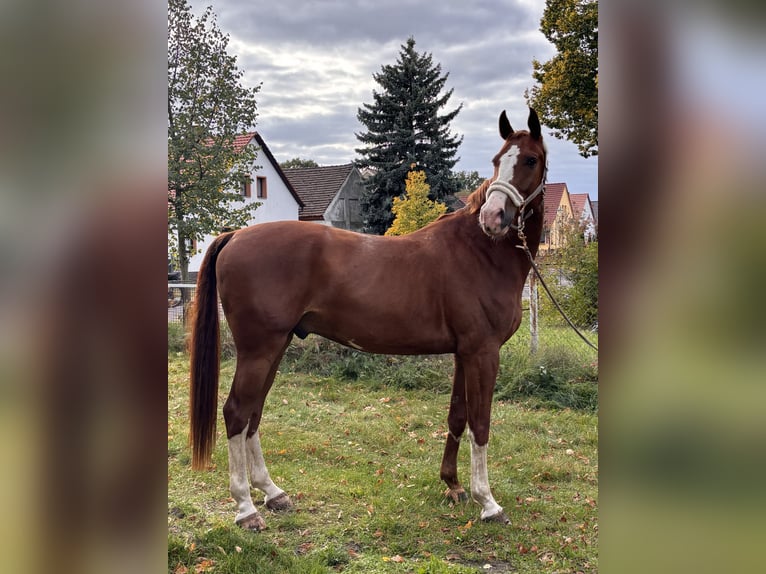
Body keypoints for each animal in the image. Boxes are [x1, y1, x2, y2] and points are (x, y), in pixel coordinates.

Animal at [189, 107, 547, 531]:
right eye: (497, 161)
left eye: (530, 160)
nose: (493, 217)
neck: (480, 252)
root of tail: (235, 235)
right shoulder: (483, 353)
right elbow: (481, 424)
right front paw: (488, 502)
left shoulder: (466, 353)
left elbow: (458, 416)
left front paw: (454, 486)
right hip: (259, 348)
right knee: (236, 412)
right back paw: (246, 509)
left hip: (275, 347)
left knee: (253, 414)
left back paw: (272, 493)